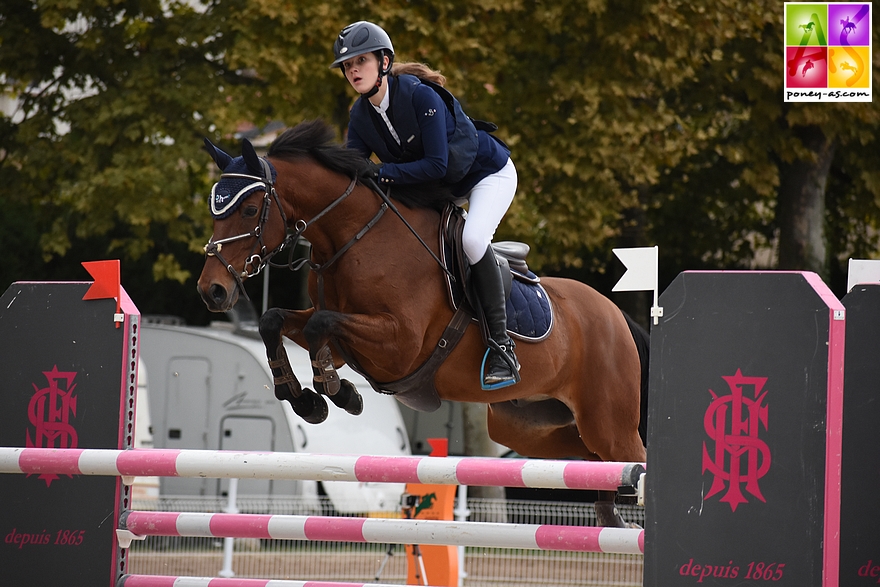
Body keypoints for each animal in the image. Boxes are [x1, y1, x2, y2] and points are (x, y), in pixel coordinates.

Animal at [201, 119, 652, 528]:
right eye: (214, 211)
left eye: (250, 209)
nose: (213, 291)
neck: (353, 238)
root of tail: (616, 314)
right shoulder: (342, 334)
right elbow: (275, 321)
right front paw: (305, 398)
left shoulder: (398, 345)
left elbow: (319, 329)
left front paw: (337, 392)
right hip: (528, 427)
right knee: (591, 459)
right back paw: (610, 514)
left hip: (607, 421)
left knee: (632, 458)